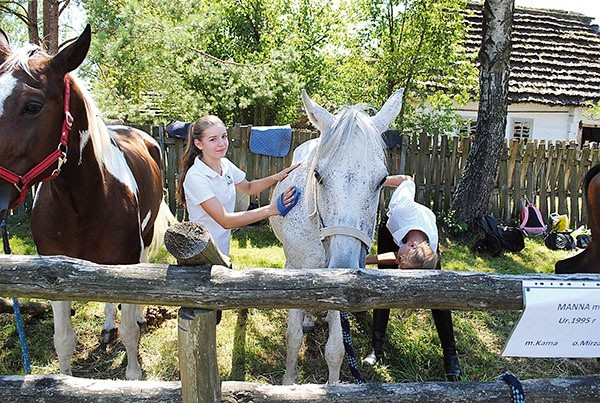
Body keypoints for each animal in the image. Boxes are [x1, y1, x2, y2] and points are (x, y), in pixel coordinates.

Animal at [0, 26, 173, 382]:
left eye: (32, 106)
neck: (81, 206)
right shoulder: (52, 273)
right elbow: (63, 340)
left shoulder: (128, 262)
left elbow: (131, 336)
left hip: (145, 237)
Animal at [270, 90, 404, 386]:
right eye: (318, 176)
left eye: (382, 180)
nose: (342, 265)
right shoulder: (295, 271)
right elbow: (293, 338)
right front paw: (289, 383)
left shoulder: (341, 290)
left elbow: (337, 349)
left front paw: (334, 386)